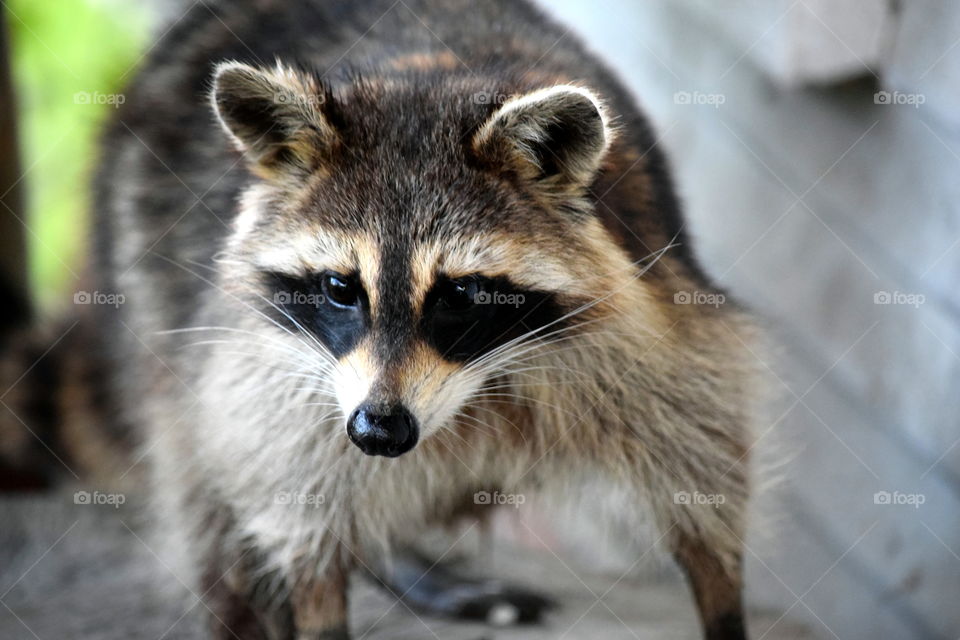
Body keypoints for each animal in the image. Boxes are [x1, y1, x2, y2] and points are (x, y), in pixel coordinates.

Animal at [82, 0, 762, 638]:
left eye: (458, 294)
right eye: (340, 288)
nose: (379, 429)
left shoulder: (647, 297)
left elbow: (698, 450)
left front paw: (721, 593)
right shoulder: (261, 359)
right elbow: (290, 487)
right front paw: (316, 601)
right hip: (149, 254)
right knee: (198, 473)